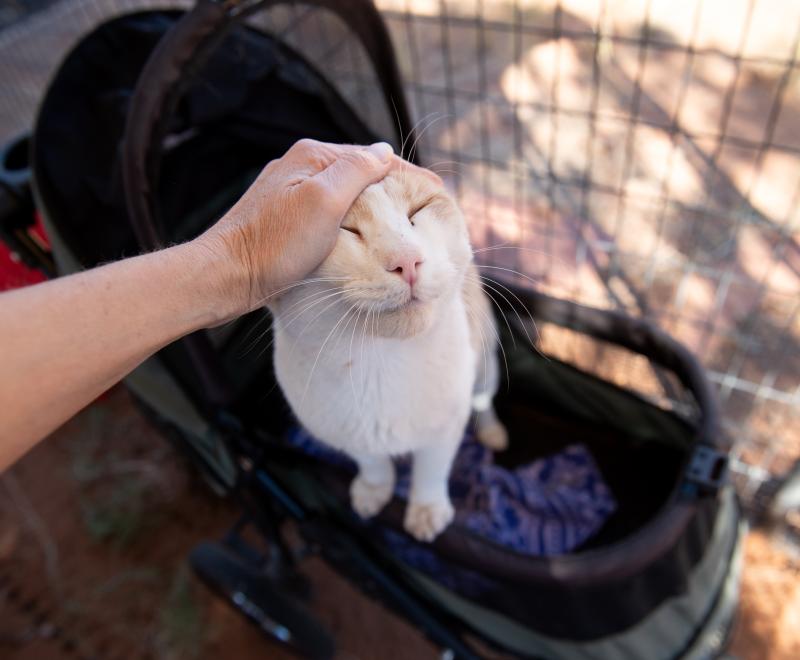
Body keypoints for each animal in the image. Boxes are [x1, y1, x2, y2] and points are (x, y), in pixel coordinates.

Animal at [268, 166, 506, 540]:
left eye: (417, 210)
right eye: (347, 229)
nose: (406, 260)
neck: (379, 365)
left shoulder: (445, 428)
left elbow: (432, 470)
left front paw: (427, 511)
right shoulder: (345, 432)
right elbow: (372, 462)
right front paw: (373, 490)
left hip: (484, 360)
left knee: (484, 399)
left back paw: (491, 430)